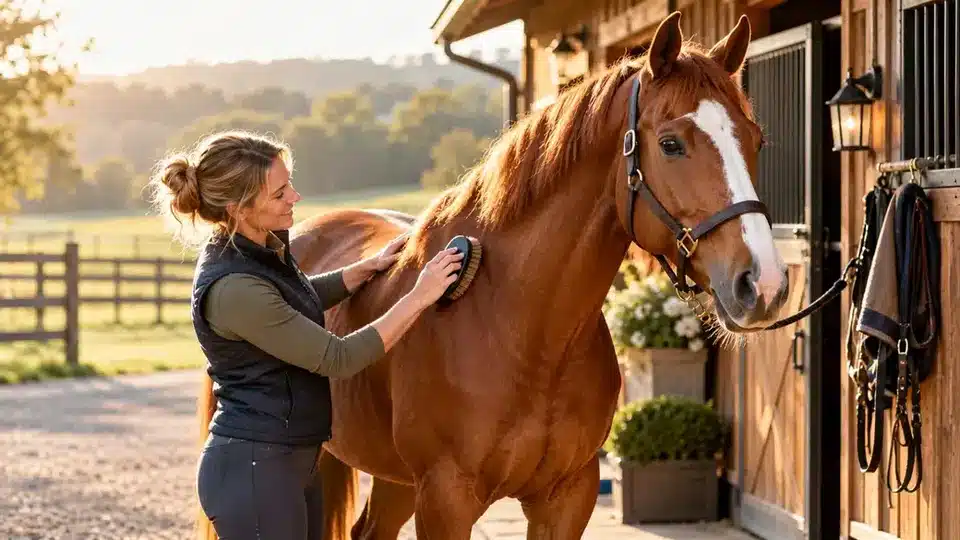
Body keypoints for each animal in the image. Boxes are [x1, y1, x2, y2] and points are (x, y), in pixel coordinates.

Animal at [196, 10, 788, 539]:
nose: (763, 284)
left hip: (393, 480)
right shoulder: (446, 500)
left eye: (757, 140)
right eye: (671, 144)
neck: (519, 328)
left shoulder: (566, 499)